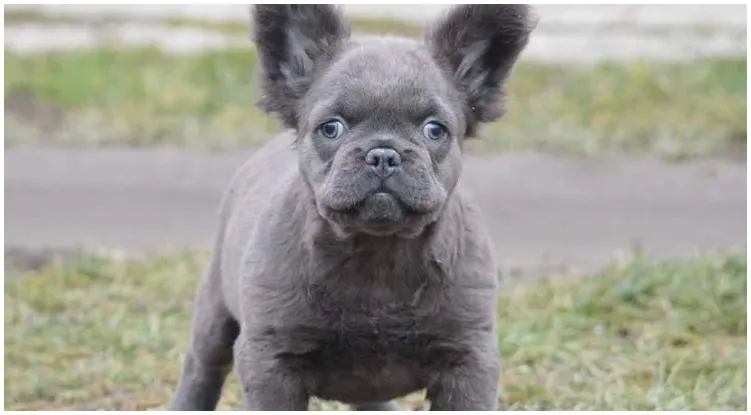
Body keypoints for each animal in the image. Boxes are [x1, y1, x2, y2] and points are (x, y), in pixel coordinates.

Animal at [170, 4, 536, 412]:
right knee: (202, 369)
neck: (377, 252)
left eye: (434, 130)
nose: (383, 153)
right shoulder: (271, 361)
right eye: (331, 128)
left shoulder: (468, 361)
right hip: (214, 313)